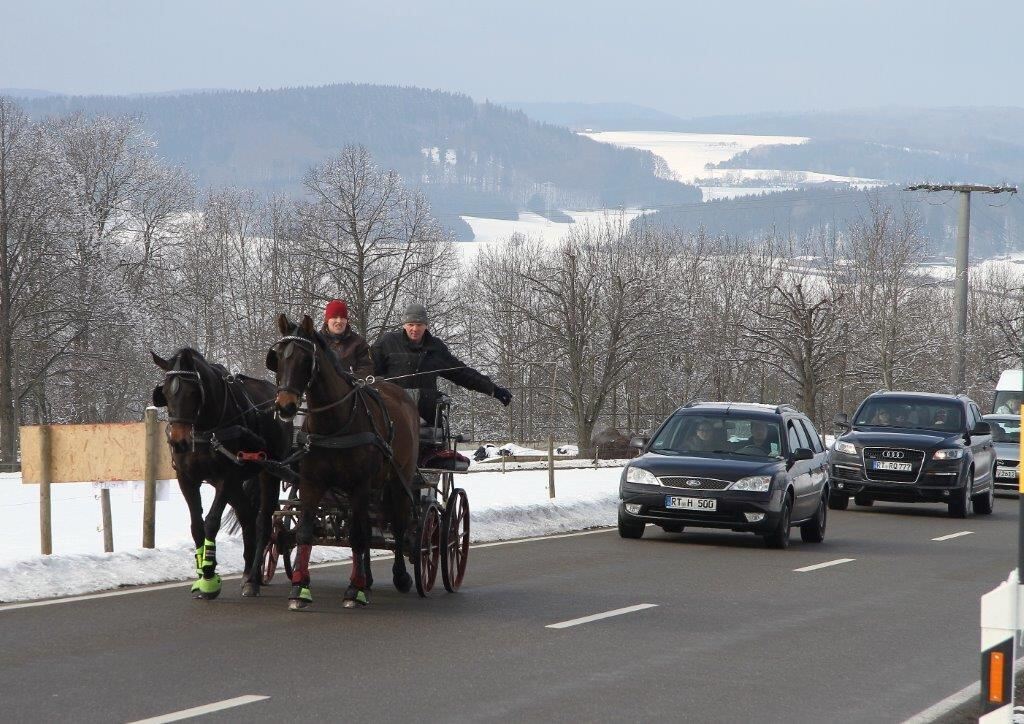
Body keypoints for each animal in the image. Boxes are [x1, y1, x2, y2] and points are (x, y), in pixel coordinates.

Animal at [149, 348, 290, 598]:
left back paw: (253, 579)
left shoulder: (227, 476)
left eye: (192, 391)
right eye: (164, 392)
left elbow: (211, 522)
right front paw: (201, 572)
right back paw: (248, 572)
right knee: (247, 516)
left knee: (263, 521)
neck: (206, 428)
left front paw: (209, 577)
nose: (179, 442)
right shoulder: (187, 479)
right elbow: (196, 525)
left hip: (269, 472)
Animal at [270, 313, 421, 610]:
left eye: (305, 359)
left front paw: (353, 590)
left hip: (399, 481)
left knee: (398, 526)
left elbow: (358, 536)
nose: (286, 406)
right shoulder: (311, 483)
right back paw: (368, 579)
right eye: (278, 357)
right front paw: (299, 588)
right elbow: (305, 532)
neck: (334, 426)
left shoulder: (359, 486)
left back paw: (399, 576)